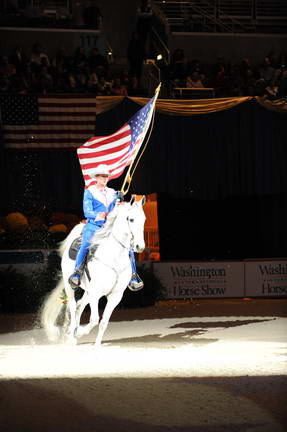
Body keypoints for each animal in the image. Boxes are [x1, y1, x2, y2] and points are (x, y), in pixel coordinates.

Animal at [40, 196, 146, 348]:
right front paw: (79, 333)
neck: (114, 257)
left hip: (88, 292)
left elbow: (103, 322)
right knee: (73, 306)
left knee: (79, 306)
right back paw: (72, 334)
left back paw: (72, 335)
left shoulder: (115, 296)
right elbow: (95, 319)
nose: (139, 246)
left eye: (143, 219)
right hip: (70, 286)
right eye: (131, 219)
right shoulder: (96, 293)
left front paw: (96, 345)